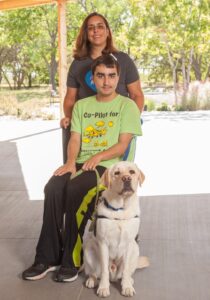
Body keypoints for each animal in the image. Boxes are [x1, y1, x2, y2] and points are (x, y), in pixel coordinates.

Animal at [83, 161, 148, 296]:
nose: (126, 178)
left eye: (131, 172)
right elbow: (104, 271)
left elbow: (126, 269)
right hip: (88, 250)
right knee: (93, 272)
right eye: (117, 173)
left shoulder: (129, 243)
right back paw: (91, 280)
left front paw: (127, 287)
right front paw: (103, 288)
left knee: (124, 273)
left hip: (135, 249)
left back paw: (129, 280)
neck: (120, 209)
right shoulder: (103, 243)